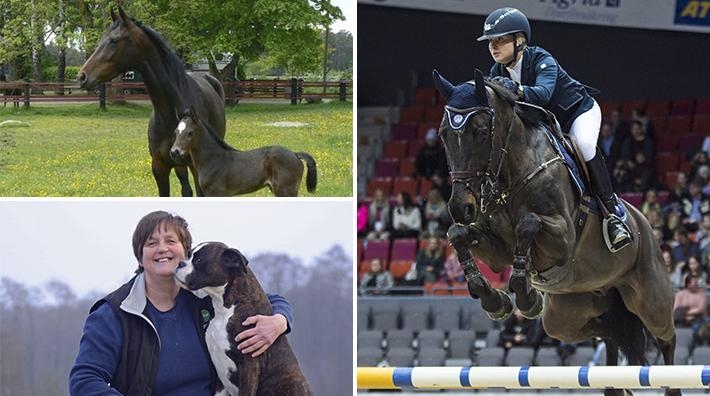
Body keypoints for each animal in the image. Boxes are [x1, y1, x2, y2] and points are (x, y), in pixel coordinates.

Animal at [170, 106, 318, 196]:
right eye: (176, 131)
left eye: (190, 133)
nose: (174, 152)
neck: (213, 159)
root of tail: (295, 154)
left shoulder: (217, 193)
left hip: (285, 191)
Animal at [434, 69, 680, 394]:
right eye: (443, 135)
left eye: (480, 130)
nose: (461, 207)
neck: (512, 173)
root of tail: (645, 226)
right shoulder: (496, 250)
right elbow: (458, 235)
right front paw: (495, 300)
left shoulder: (562, 238)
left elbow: (528, 223)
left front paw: (525, 296)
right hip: (565, 316)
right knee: (611, 331)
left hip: (649, 299)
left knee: (666, 338)